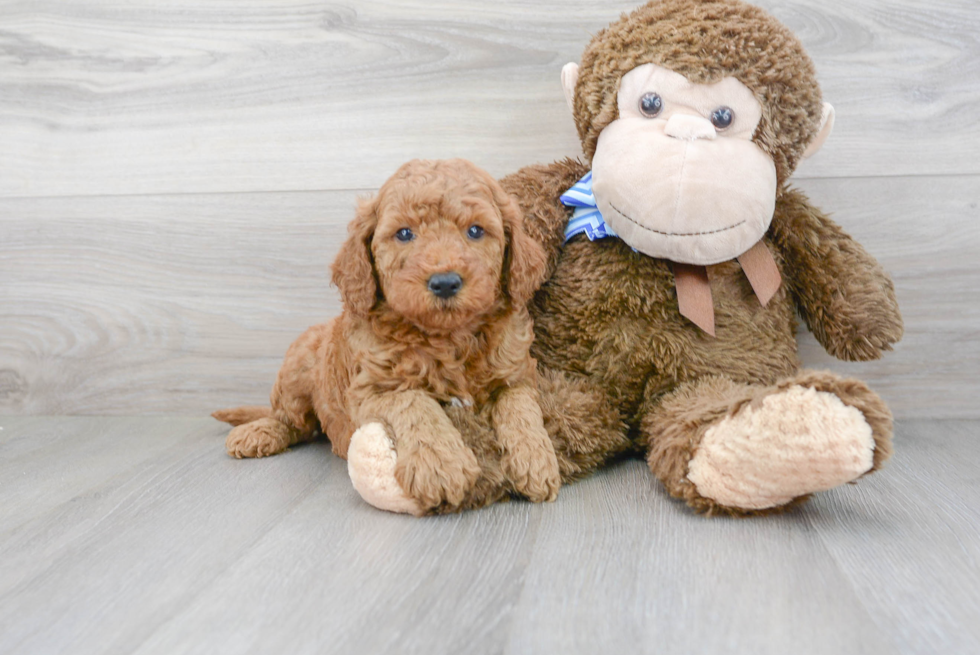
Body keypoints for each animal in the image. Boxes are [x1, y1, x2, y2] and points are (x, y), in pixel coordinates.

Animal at [213, 159, 560, 512]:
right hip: (298, 364)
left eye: (476, 230)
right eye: (404, 233)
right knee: (292, 420)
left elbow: (520, 406)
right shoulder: (371, 388)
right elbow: (415, 402)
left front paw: (536, 459)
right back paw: (259, 433)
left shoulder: (518, 374)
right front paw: (441, 465)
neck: (448, 337)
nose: (445, 282)